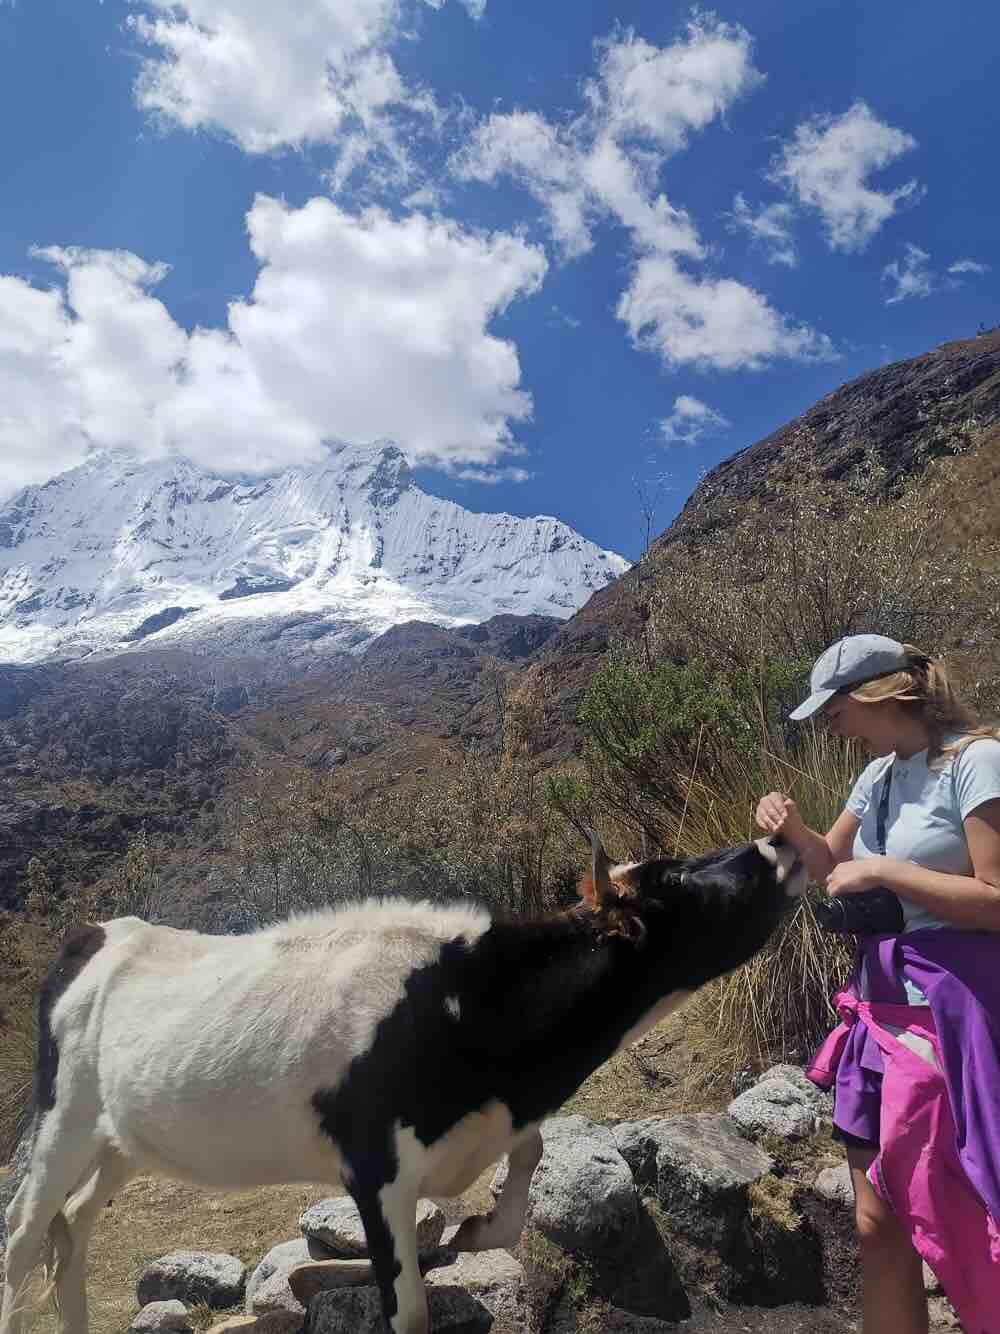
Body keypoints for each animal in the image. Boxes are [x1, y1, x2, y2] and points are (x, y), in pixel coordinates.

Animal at [1, 832, 805, 1334]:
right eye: (677, 884)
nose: (779, 843)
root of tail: (102, 930)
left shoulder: (492, 1122)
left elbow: (532, 1154)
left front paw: (478, 1228)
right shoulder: (373, 1165)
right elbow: (408, 1309)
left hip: (122, 1140)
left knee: (73, 1226)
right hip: (62, 1119)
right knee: (24, 1234)